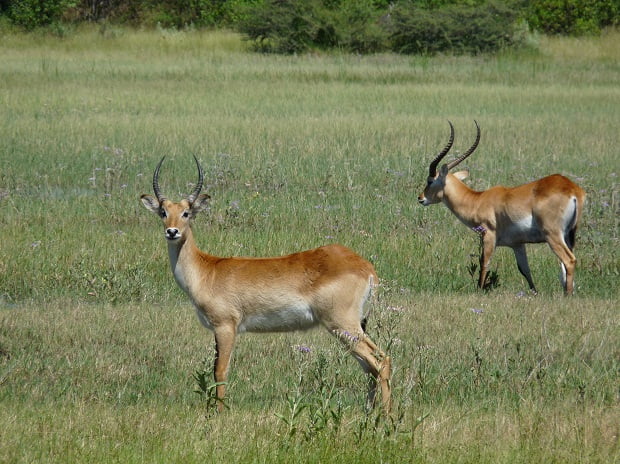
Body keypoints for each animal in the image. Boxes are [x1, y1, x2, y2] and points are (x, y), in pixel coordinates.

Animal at [143, 157, 390, 414]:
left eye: (186, 212)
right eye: (163, 212)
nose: (172, 231)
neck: (207, 270)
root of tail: (364, 266)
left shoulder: (225, 326)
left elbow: (220, 370)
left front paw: (219, 413)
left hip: (342, 324)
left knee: (381, 360)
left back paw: (386, 415)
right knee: (370, 366)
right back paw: (371, 411)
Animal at [416, 119, 588, 294]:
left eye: (430, 180)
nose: (421, 198)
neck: (478, 200)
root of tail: (572, 189)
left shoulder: (488, 236)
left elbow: (484, 262)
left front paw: (479, 290)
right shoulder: (517, 244)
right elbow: (524, 270)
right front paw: (534, 293)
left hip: (552, 235)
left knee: (569, 260)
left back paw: (567, 295)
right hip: (567, 236)